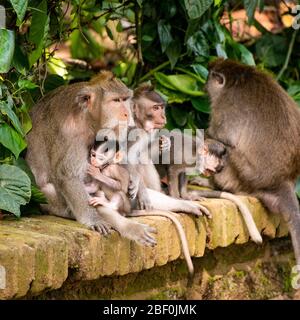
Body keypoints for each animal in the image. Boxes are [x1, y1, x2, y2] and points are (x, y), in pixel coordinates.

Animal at [206, 60, 300, 264]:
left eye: (209, 76)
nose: (204, 83)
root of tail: (284, 180)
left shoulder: (225, 105)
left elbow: (219, 136)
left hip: (244, 176)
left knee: (224, 148)